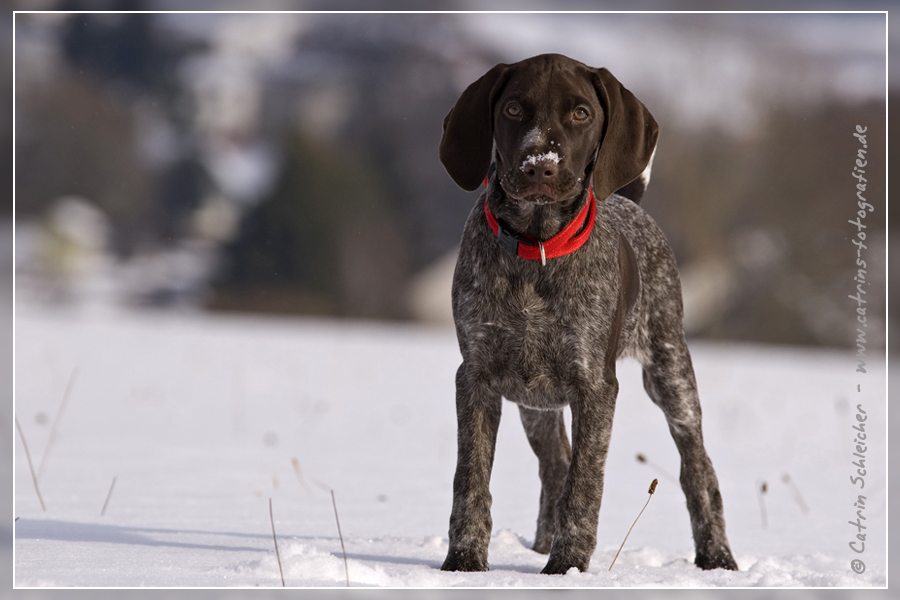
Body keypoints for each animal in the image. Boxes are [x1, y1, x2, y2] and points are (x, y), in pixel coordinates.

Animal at [436, 56, 740, 576]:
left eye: (580, 113)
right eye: (513, 108)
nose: (540, 165)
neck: (536, 248)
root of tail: (631, 203)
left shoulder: (595, 386)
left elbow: (585, 483)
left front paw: (568, 568)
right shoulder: (476, 376)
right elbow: (471, 478)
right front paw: (464, 562)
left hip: (670, 375)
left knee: (697, 469)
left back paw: (717, 557)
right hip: (534, 402)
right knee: (554, 464)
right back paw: (539, 545)